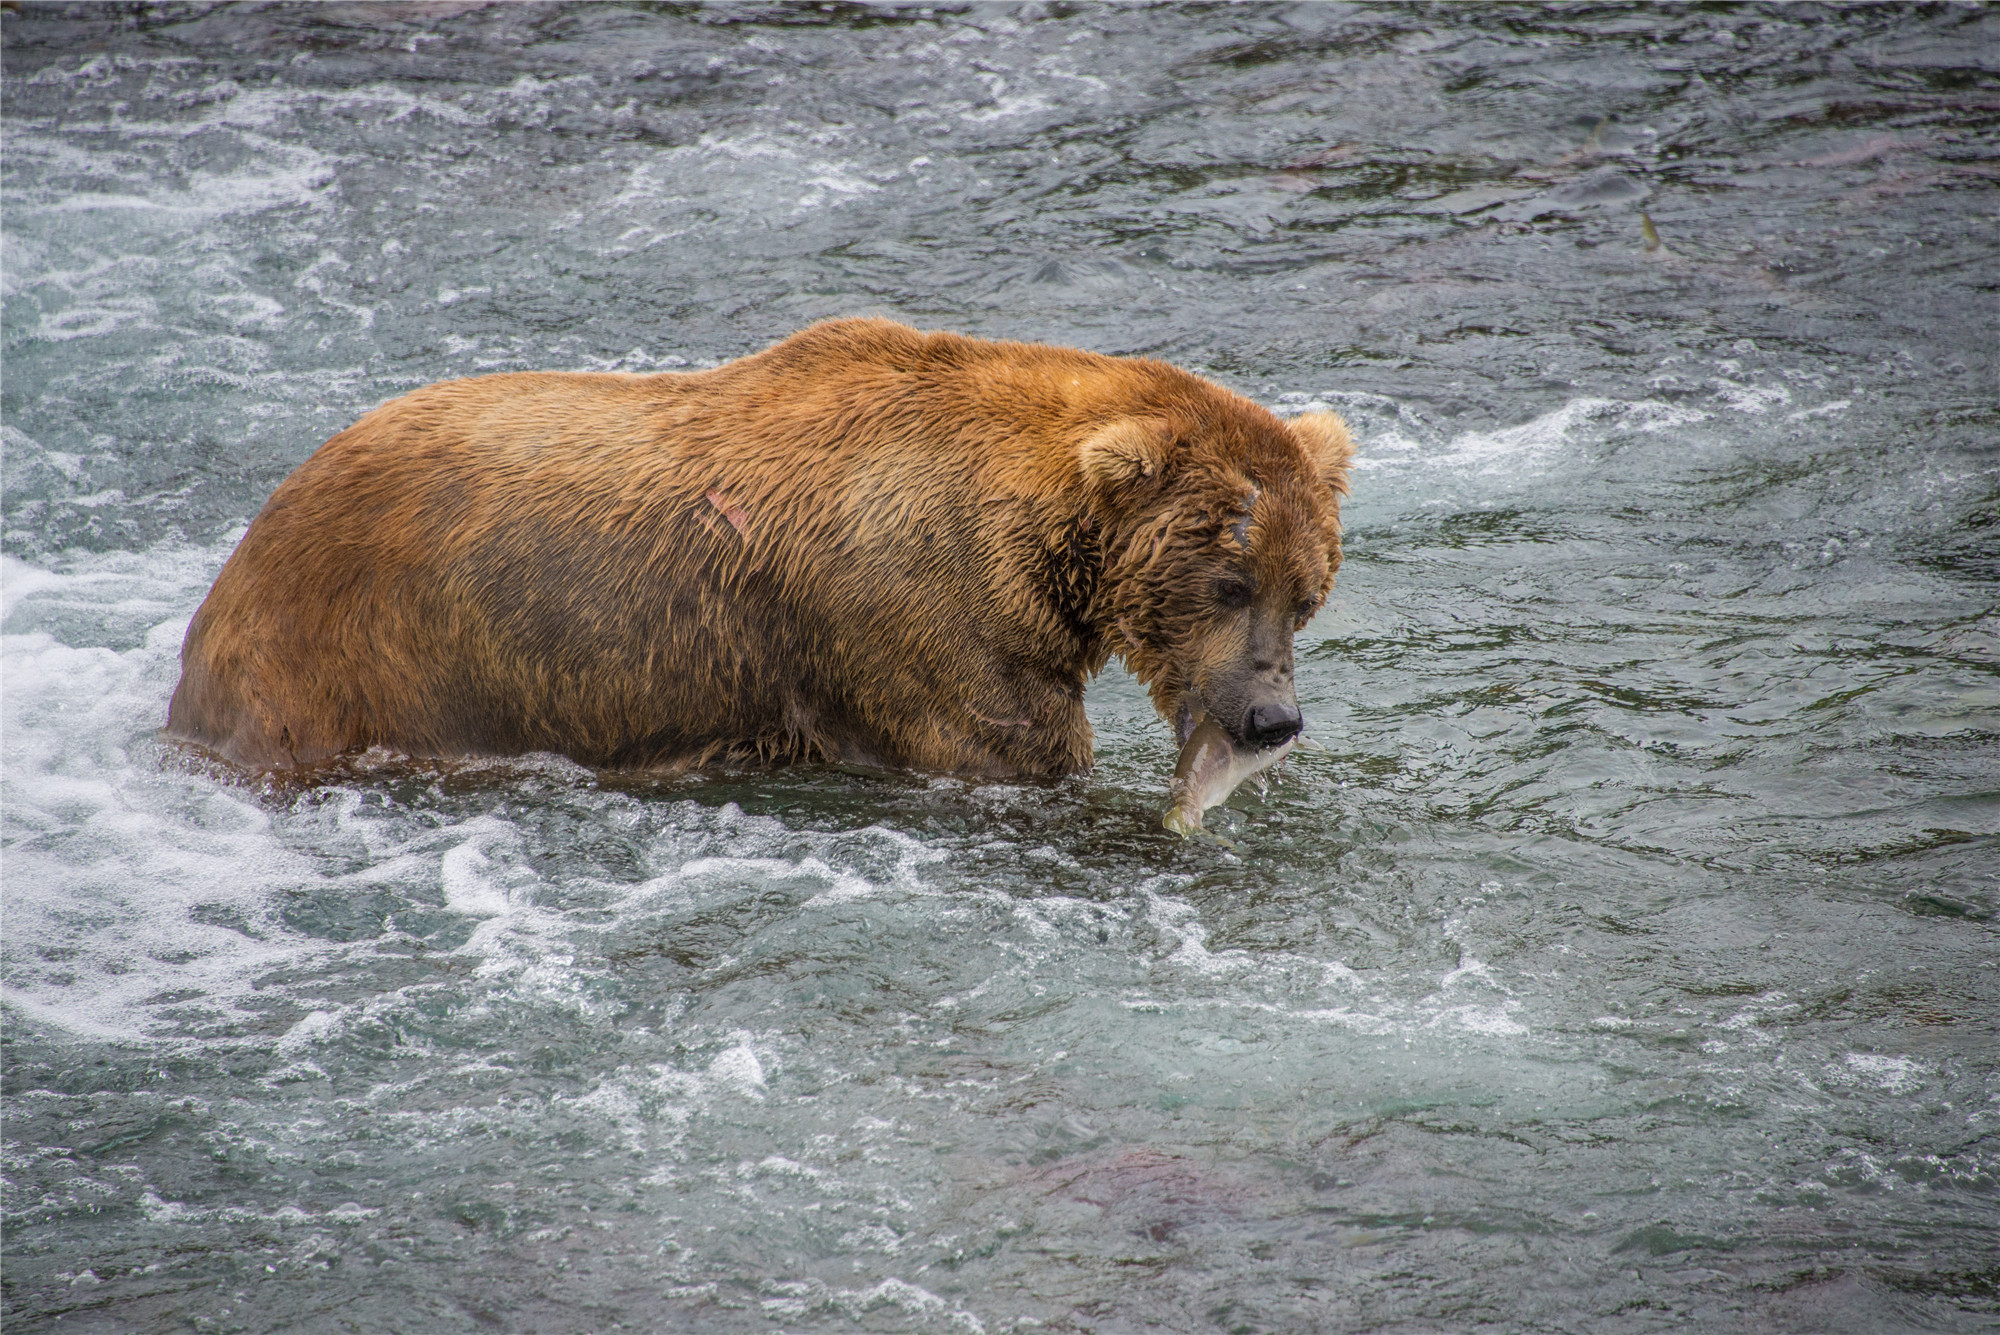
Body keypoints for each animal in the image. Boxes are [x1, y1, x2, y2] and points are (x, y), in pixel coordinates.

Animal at [168, 319, 1360, 783]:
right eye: (1227, 579)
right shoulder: (919, 616)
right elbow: (1009, 743)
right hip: (360, 656)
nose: (1272, 718)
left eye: (1305, 596)